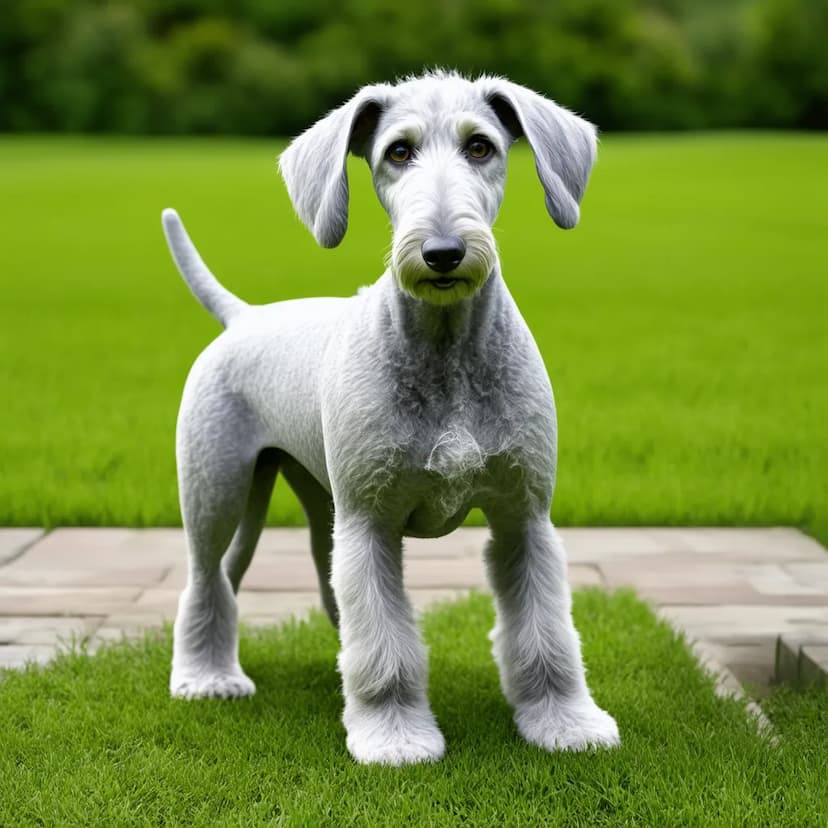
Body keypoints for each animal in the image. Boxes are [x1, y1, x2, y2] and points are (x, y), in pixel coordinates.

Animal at [162, 69, 616, 764]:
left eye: (481, 146)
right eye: (397, 152)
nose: (443, 252)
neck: (447, 351)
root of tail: (244, 317)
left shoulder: (524, 517)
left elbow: (547, 636)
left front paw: (565, 723)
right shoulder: (371, 523)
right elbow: (385, 644)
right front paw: (394, 737)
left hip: (309, 498)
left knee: (278, 586)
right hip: (219, 487)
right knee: (204, 577)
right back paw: (205, 679)